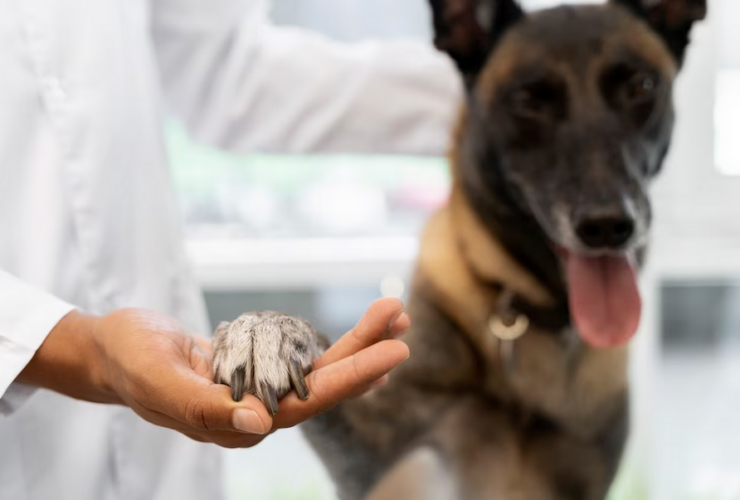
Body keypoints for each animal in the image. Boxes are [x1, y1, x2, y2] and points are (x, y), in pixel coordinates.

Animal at [212, 1, 704, 498]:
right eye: (528, 100)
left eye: (641, 87)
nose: (608, 227)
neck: (530, 311)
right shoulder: (375, 460)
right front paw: (266, 332)